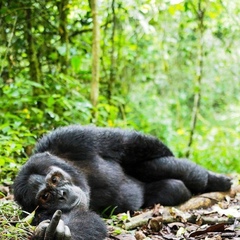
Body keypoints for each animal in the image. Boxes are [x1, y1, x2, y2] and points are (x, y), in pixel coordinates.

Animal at [13, 125, 231, 240]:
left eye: (55, 179)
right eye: (45, 196)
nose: (62, 194)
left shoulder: (71, 138)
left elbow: (127, 143)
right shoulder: (36, 214)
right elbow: (84, 219)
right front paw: (57, 233)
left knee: (151, 165)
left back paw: (214, 181)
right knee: (173, 188)